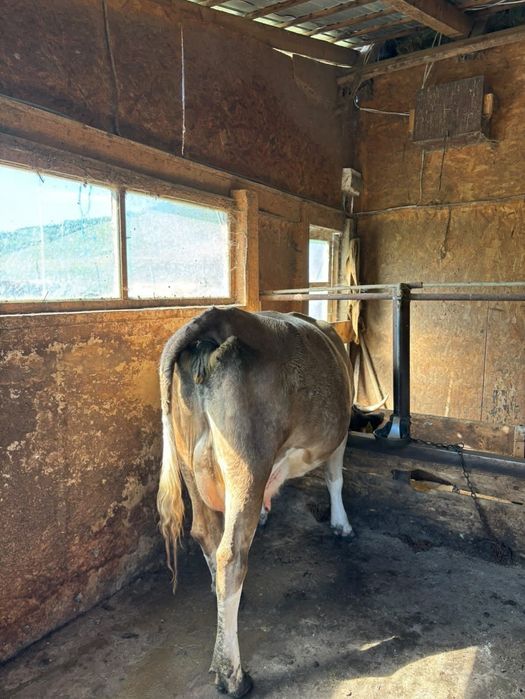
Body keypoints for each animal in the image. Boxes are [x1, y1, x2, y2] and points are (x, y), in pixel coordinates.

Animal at [157, 306, 354, 697]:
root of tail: (214, 317)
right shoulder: (340, 431)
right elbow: (335, 478)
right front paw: (342, 524)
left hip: (189, 460)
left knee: (205, 534)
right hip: (248, 460)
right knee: (231, 554)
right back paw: (231, 674)